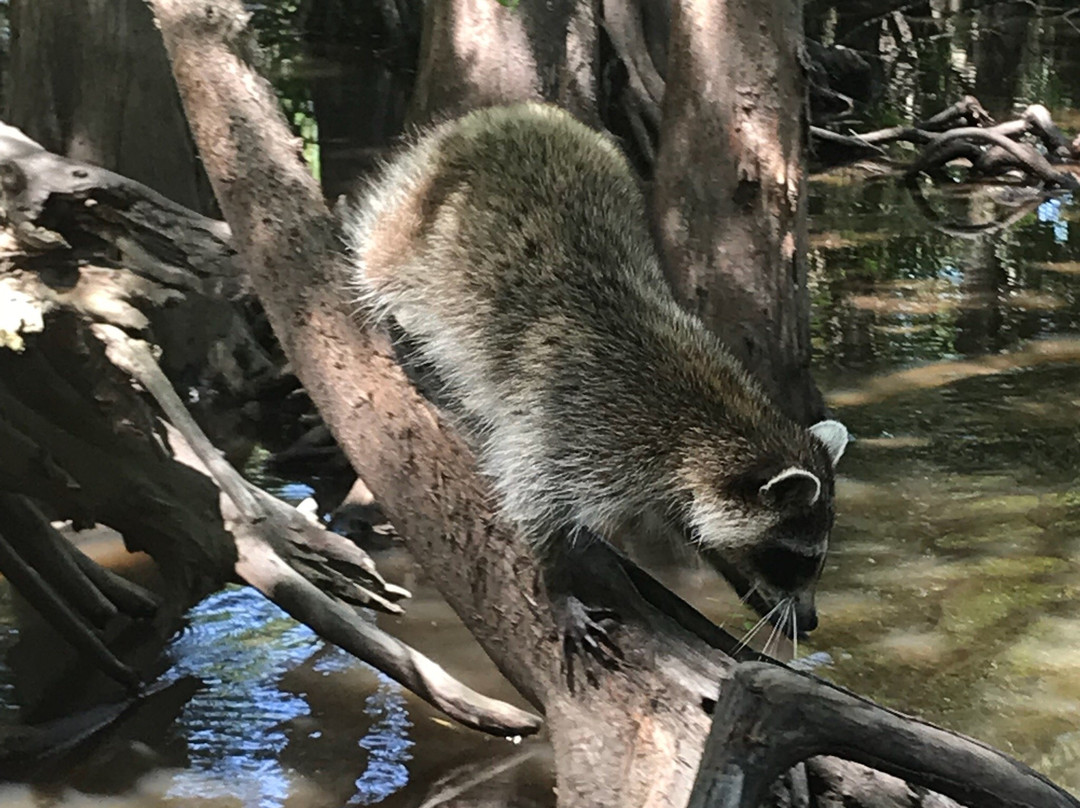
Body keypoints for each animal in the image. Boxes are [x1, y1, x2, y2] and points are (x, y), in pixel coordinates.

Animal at [349, 102, 846, 639]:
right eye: (793, 558)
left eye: (814, 560)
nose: (812, 622)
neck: (710, 428)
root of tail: (501, 114)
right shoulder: (579, 422)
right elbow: (532, 501)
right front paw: (556, 584)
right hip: (404, 228)